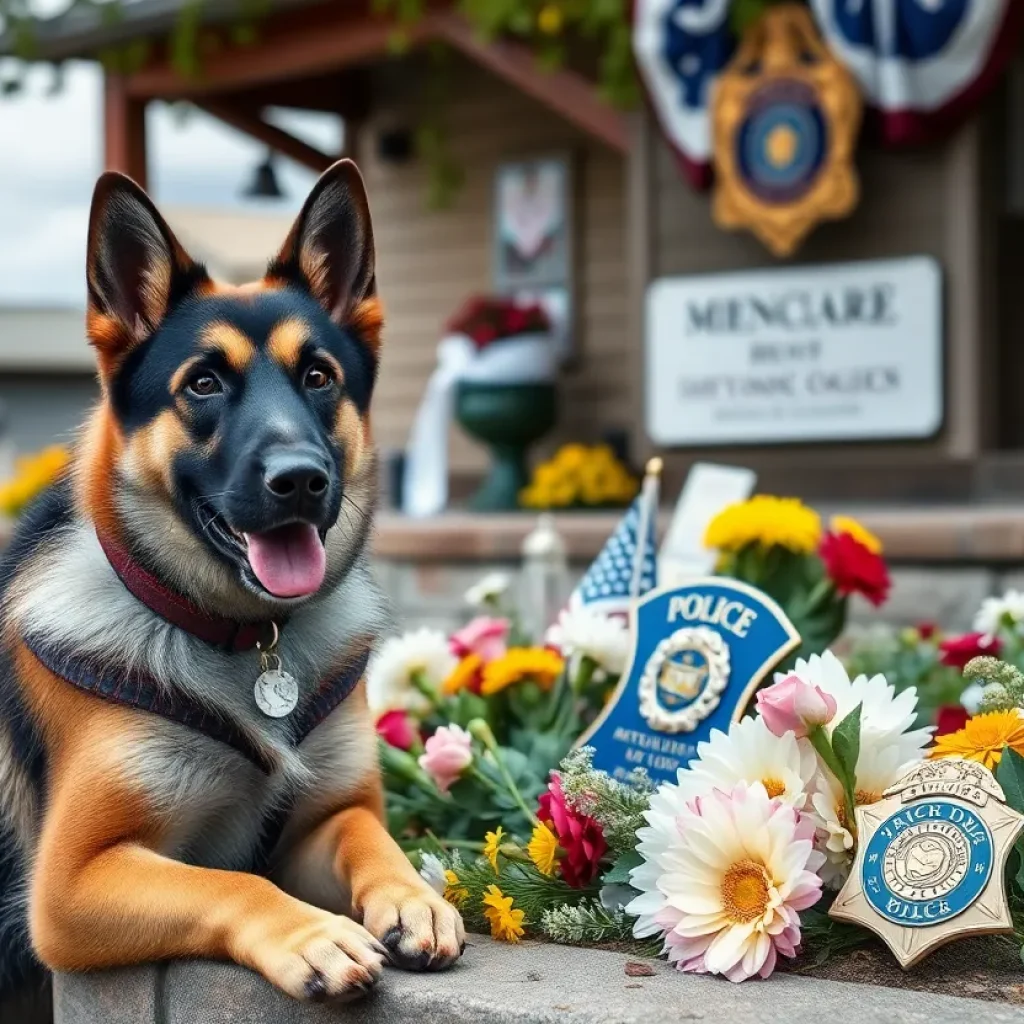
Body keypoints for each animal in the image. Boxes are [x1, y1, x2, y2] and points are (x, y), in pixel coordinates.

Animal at [0, 159, 464, 1007]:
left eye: (318, 376)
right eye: (204, 384)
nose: (302, 481)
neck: (244, 637)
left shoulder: (317, 824)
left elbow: (367, 832)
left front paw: (411, 892)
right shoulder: (71, 883)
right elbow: (233, 883)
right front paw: (314, 934)